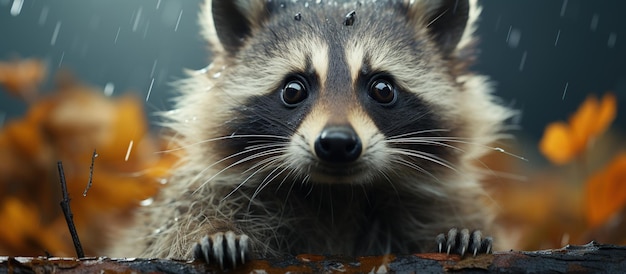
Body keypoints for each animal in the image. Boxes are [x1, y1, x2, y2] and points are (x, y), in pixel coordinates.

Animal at [111, 0, 512, 268]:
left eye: (383, 88)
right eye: (293, 90)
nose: (337, 143)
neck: (336, 194)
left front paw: (461, 234)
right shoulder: (199, 198)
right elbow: (173, 229)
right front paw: (215, 233)